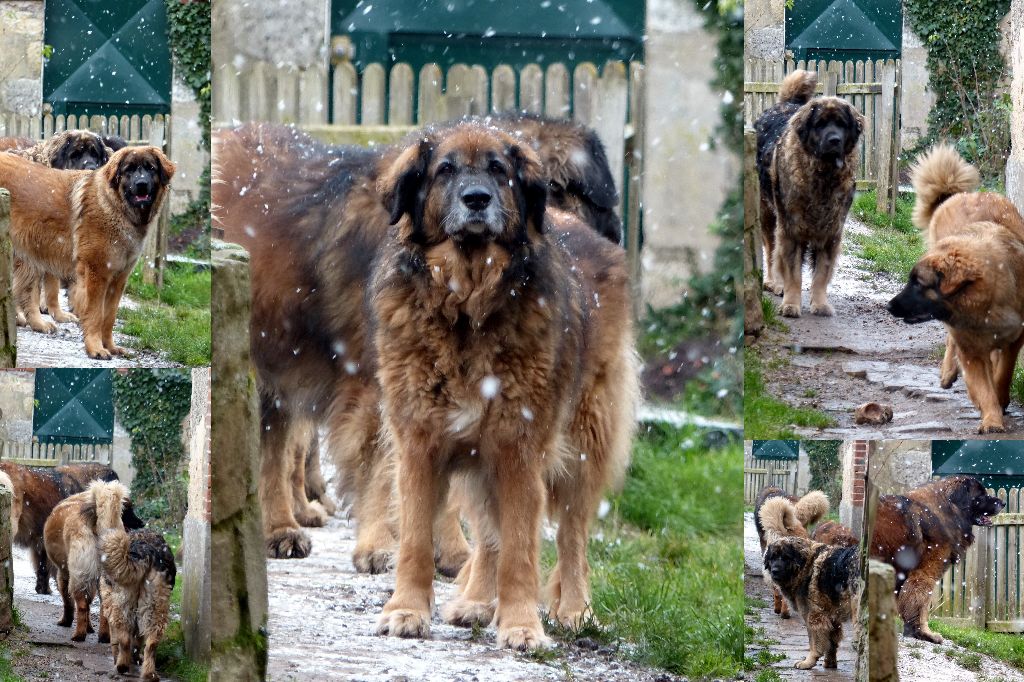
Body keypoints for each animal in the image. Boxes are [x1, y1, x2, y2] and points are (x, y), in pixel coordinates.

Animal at [0, 144, 176, 356]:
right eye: (129, 170)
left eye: (150, 168)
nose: (141, 183)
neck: (115, 207)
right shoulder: (96, 273)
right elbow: (95, 314)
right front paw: (95, 348)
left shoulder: (118, 279)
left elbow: (109, 316)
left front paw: (110, 346)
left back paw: (38, 324)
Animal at [98, 524, 175, 679]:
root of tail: (145, 552)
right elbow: (138, 638)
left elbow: (116, 639)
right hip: (156, 606)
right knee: (151, 644)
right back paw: (149, 673)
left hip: (121, 605)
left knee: (124, 638)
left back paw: (122, 665)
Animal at [753, 70, 864, 315]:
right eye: (820, 124)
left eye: (842, 124)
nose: (834, 140)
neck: (822, 177)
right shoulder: (791, 229)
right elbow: (793, 272)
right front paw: (791, 304)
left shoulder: (831, 232)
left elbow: (821, 273)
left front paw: (820, 304)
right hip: (768, 213)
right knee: (772, 252)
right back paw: (775, 283)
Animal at [868, 475, 1003, 638]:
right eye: (981, 495)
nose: (1003, 503)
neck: (947, 510)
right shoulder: (924, 573)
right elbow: (921, 604)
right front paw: (924, 633)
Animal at [884, 144, 1024, 430]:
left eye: (918, 283)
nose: (889, 306)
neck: (983, 305)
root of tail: (960, 195)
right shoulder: (970, 349)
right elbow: (982, 385)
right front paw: (991, 417)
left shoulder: (1015, 337)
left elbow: (1002, 373)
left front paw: (1000, 400)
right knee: (951, 342)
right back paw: (948, 372)